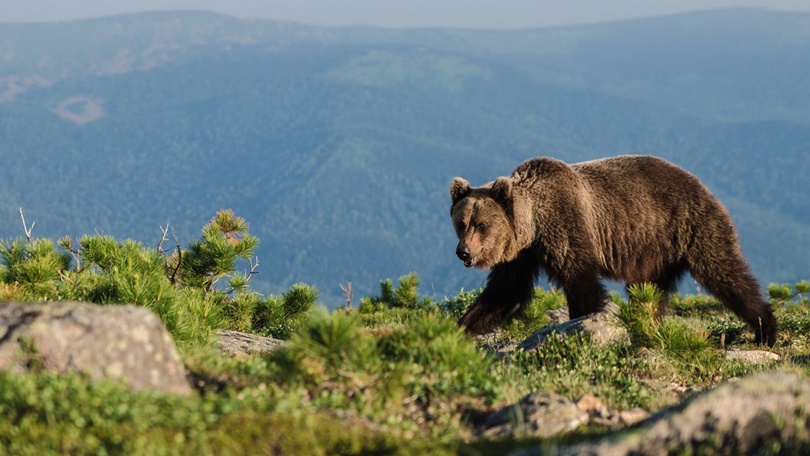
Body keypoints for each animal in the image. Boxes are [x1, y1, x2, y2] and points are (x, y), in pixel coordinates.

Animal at [448, 156, 776, 346]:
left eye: (481, 225)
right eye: (461, 223)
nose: (463, 253)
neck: (535, 225)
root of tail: (702, 185)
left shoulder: (567, 225)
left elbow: (582, 283)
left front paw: (584, 325)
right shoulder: (520, 255)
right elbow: (505, 293)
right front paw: (460, 329)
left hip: (692, 226)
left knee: (724, 272)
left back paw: (765, 328)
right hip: (655, 253)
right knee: (650, 293)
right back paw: (647, 329)